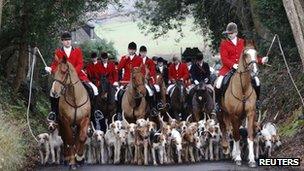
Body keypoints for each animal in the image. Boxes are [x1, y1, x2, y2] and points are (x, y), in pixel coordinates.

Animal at [217, 40, 260, 168]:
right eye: (246, 54)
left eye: (256, 53)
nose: (255, 71)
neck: (243, 88)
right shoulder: (233, 114)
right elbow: (236, 135)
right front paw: (238, 158)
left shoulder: (250, 113)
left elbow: (249, 135)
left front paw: (252, 160)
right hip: (221, 113)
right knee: (225, 128)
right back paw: (227, 149)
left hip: (239, 116)